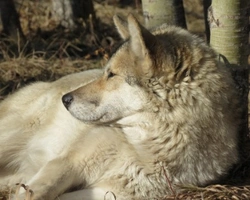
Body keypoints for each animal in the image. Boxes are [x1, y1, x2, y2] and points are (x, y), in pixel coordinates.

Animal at [0, 14, 238, 200]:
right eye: (105, 72)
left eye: (111, 75)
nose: (65, 99)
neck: (146, 145)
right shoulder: (66, 163)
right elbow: (37, 191)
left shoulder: (109, 192)